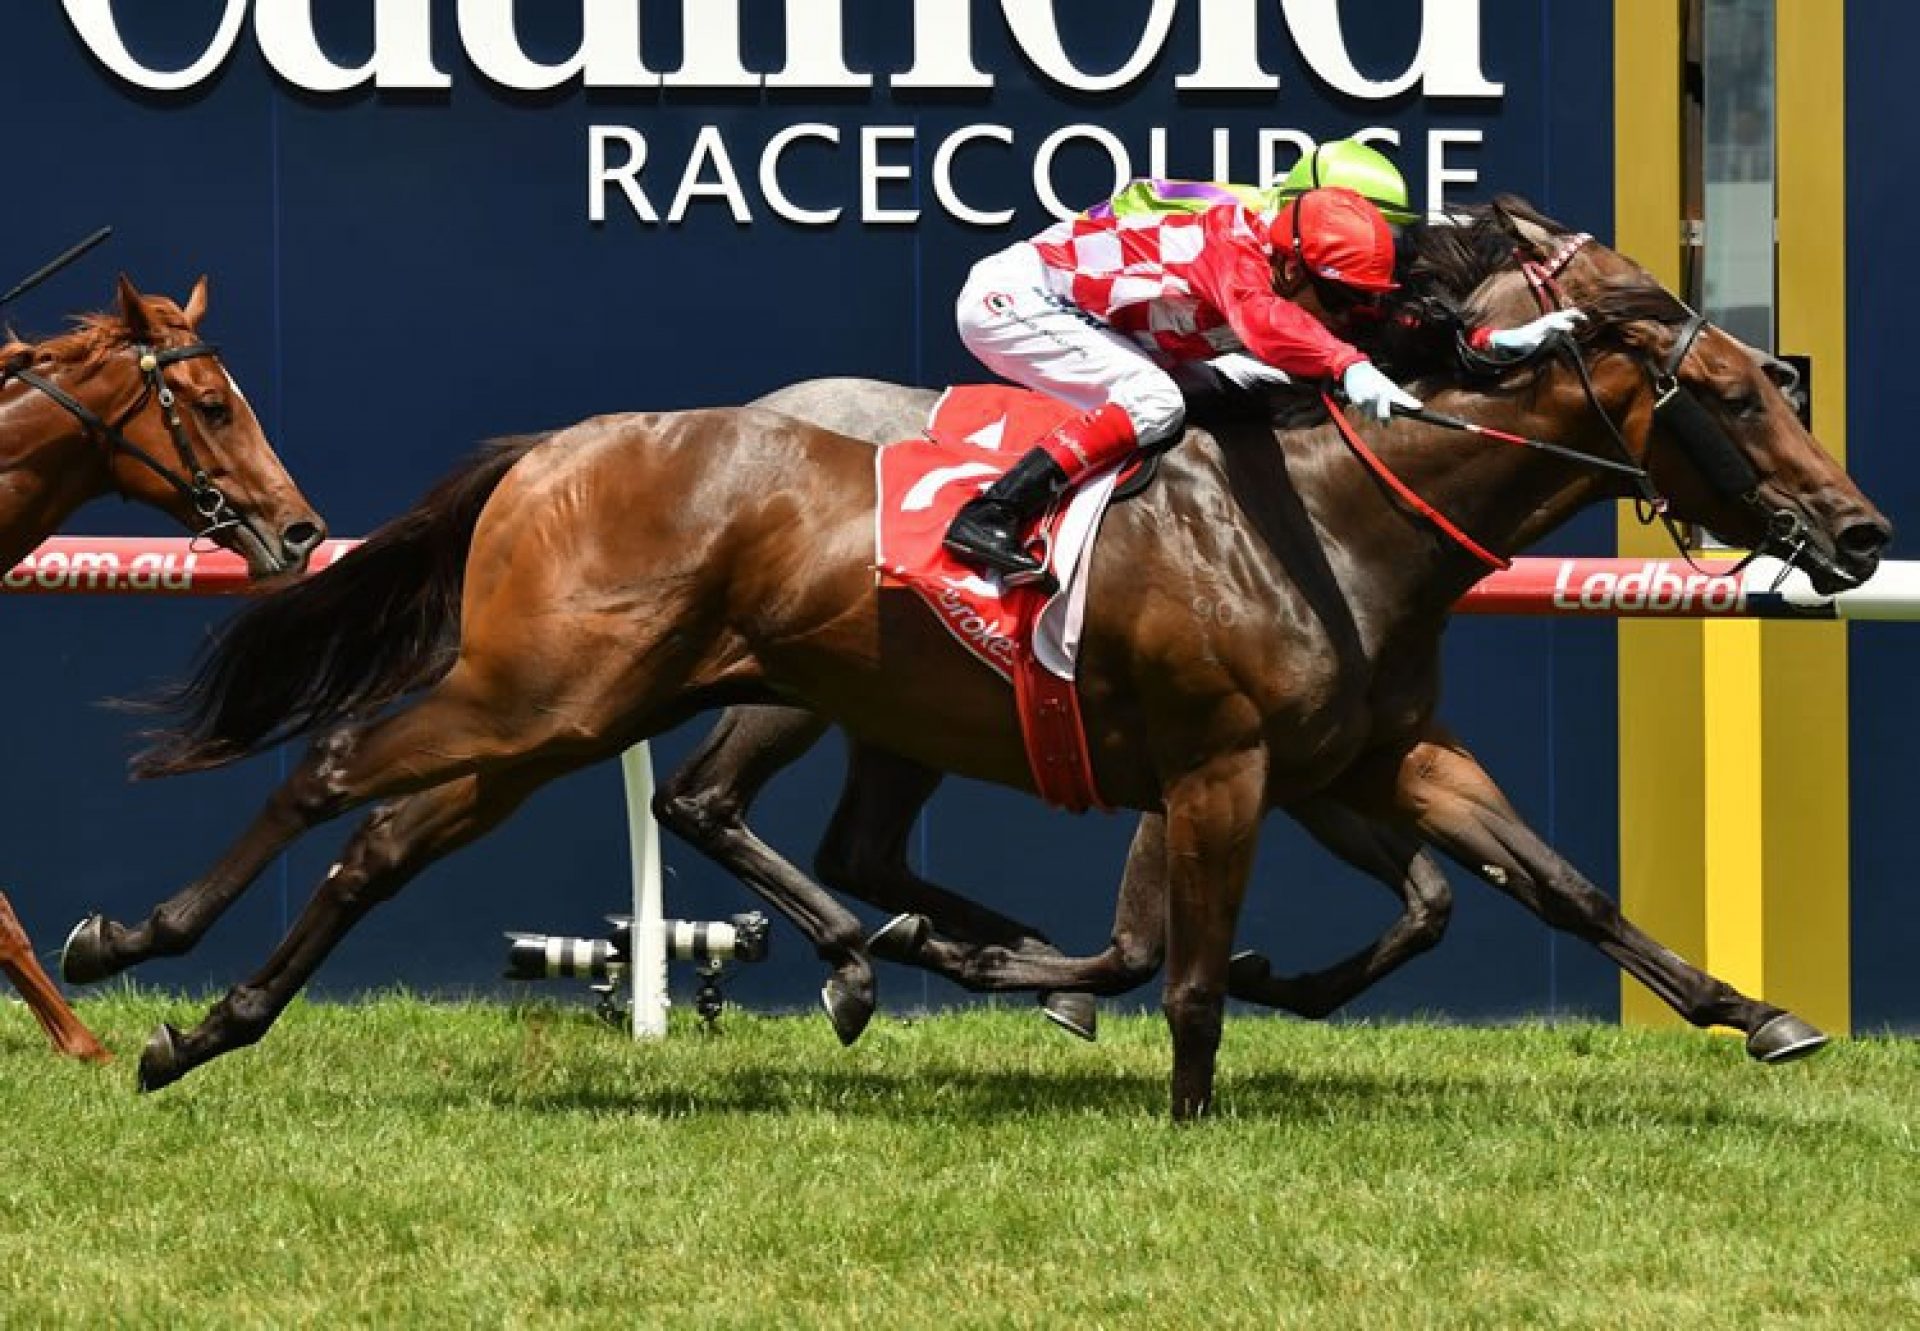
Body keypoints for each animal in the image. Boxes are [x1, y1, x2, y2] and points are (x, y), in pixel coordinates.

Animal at [63, 205, 1889, 1113]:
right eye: (1737, 391)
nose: (1862, 534)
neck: (1337, 506)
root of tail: (555, 448)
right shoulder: (1222, 762)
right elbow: (1188, 963)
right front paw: (1189, 1110)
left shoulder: (1373, 757)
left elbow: (1545, 885)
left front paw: (1760, 1014)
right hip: (561, 693)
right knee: (342, 773)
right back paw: (125, 945)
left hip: (579, 718)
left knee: (393, 838)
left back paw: (200, 1028)